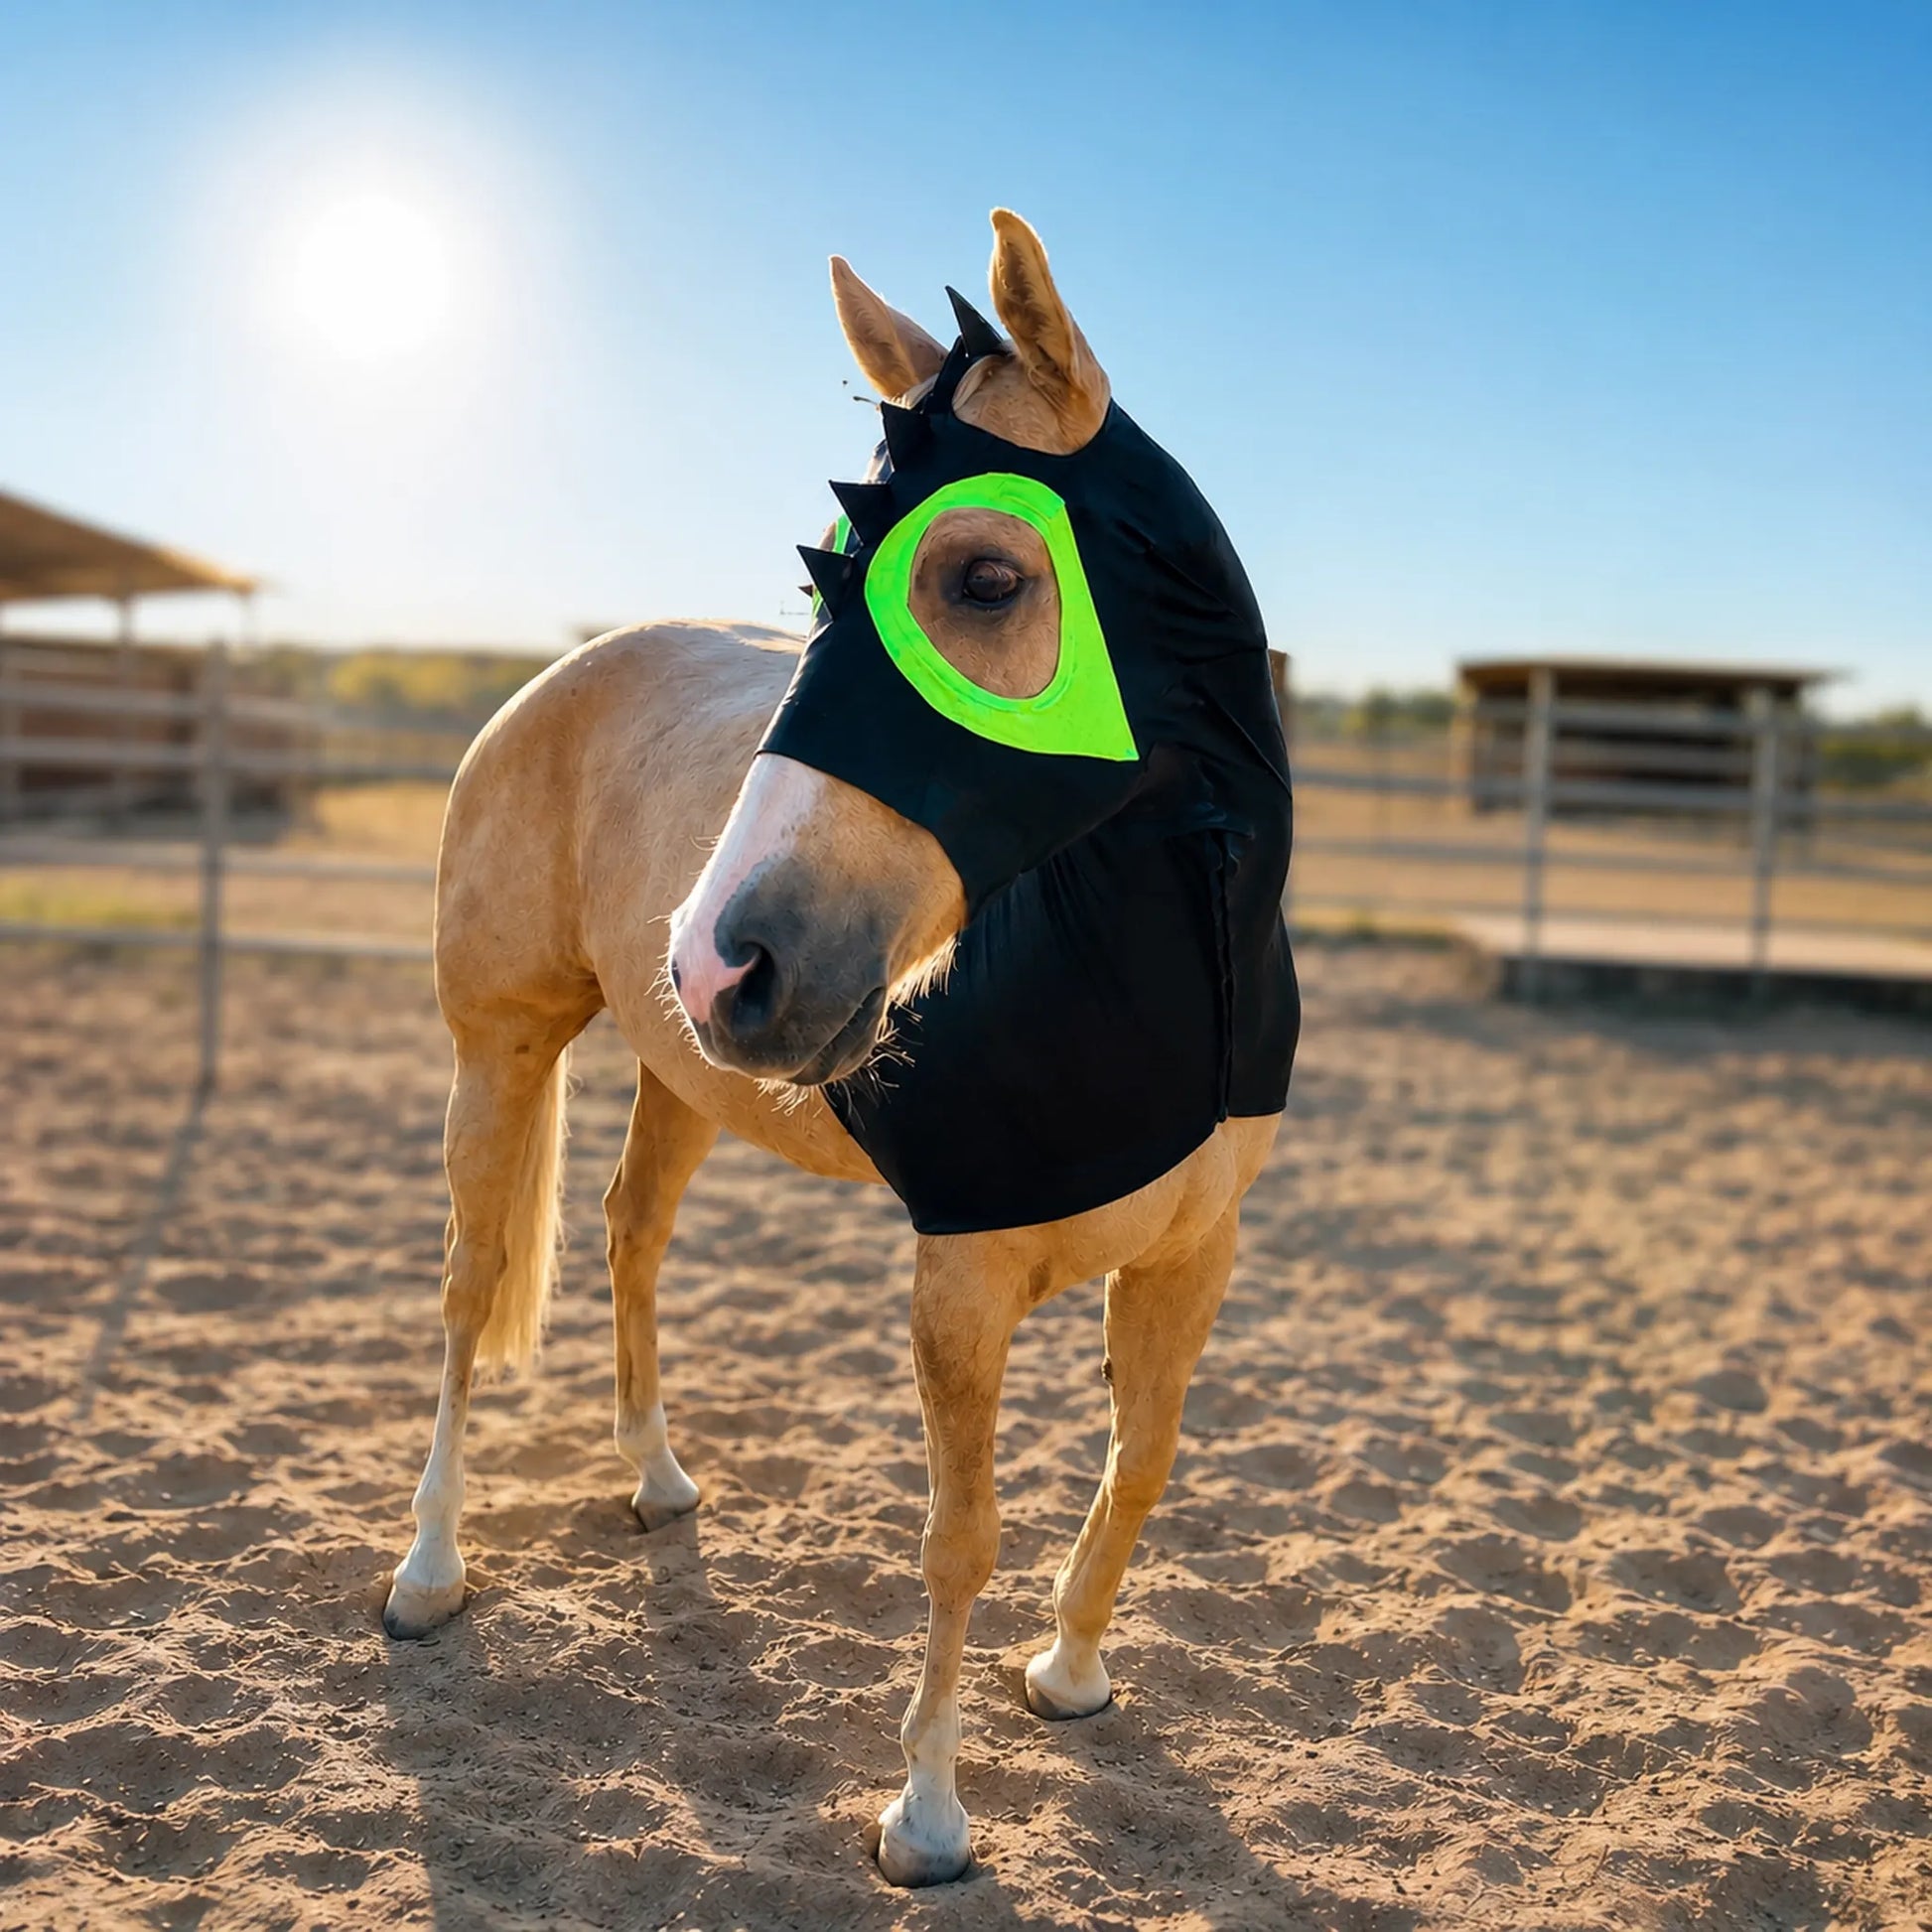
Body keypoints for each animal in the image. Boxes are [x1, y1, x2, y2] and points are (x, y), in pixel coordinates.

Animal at [383, 209, 1286, 1889]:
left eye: (985, 573)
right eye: (822, 587)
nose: (718, 954)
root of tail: (556, 678)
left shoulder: (1191, 1253)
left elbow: (1139, 1460)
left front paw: (1071, 1676)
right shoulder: (961, 1285)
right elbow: (958, 1536)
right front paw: (923, 1817)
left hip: (680, 1075)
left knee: (629, 1231)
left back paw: (657, 1482)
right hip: (501, 1053)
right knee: (473, 1291)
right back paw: (424, 1571)